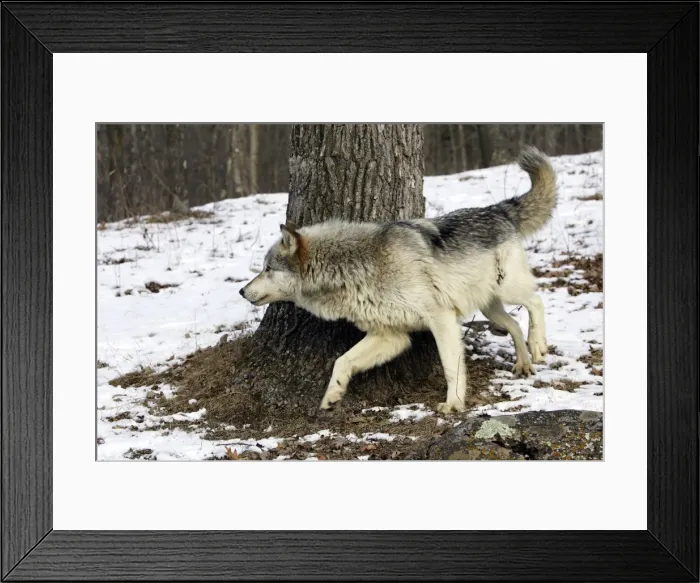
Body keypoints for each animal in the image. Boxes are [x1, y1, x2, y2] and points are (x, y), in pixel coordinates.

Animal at [240, 146, 557, 413]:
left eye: (267, 268)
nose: (242, 291)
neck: (357, 268)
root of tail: (498, 209)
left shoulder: (440, 318)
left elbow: (450, 367)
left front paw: (453, 404)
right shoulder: (391, 336)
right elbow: (342, 361)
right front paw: (332, 395)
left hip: (507, 289)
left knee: (536, 301)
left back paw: (538, 345)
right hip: (489, 306)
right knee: (514, 324)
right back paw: (523, 364)